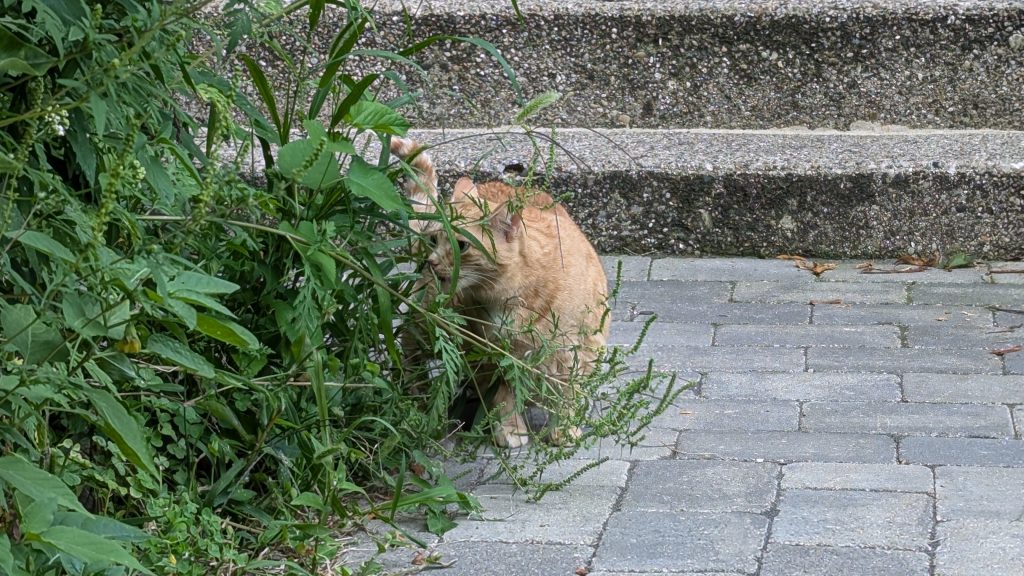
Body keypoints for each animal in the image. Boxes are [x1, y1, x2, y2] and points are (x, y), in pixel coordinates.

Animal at [391, 136, 606, 446]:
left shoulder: (576, 350)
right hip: (429, 323)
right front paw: (510, 429)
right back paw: (419, 397)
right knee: (408, 348)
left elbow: (568, 395)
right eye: (434, 239)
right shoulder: (490, 356)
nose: (432, 262)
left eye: (461, 245)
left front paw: (563, 430)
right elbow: (504, 395)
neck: (513, 297)